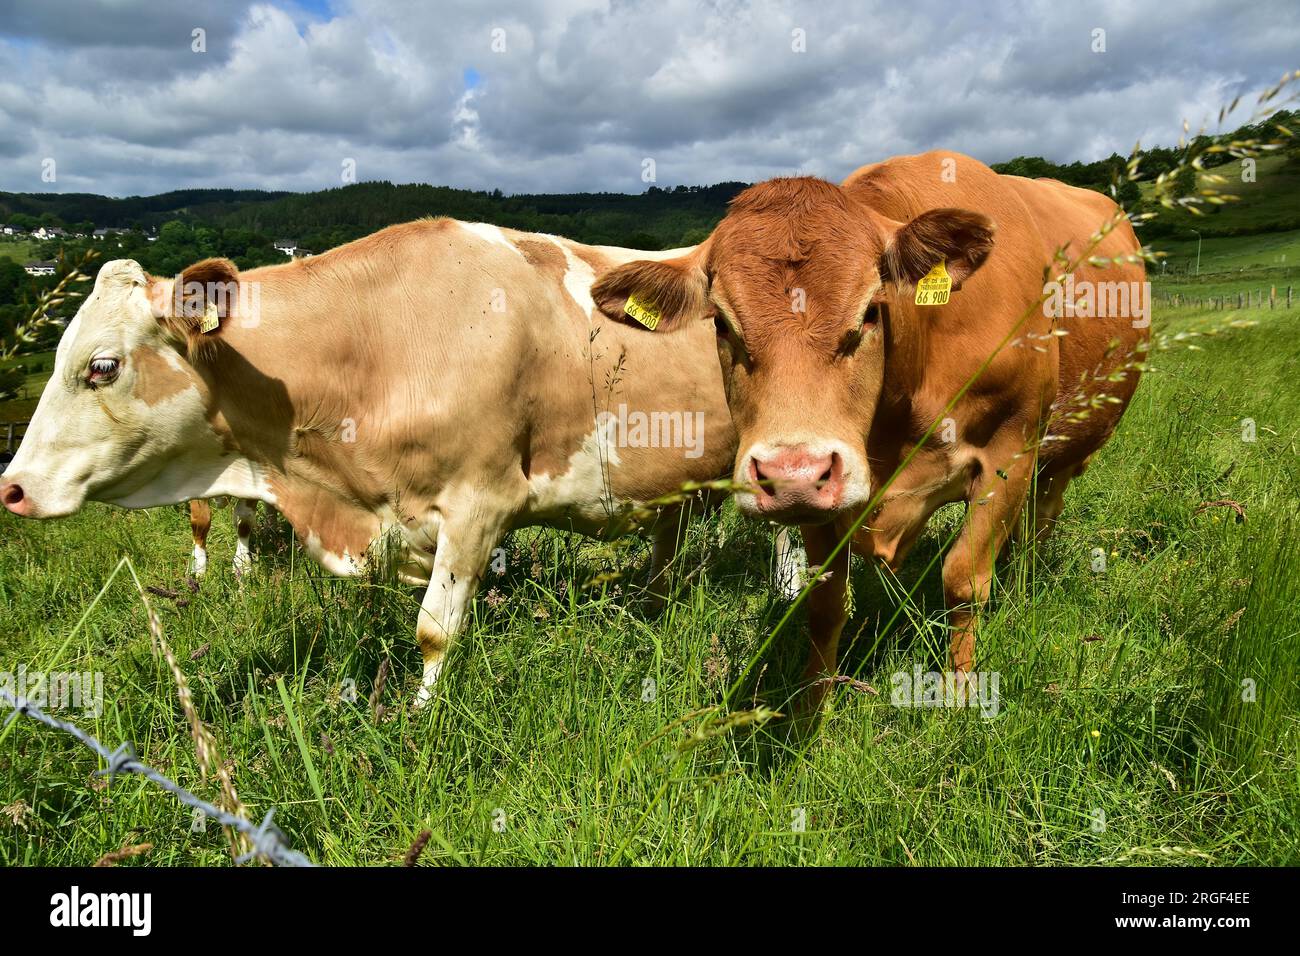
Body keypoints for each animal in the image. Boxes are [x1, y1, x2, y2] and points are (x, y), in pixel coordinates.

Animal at [0, 219, 739, 702]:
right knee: (668, 542)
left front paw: (424, 721)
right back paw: (656, 605)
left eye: (101, 366)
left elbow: (435, 632)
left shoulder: (480, 501)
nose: (12, 487)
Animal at [592, 150, 1147, 711]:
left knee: (1041, 519)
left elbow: (964, 581)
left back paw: (1022, 587)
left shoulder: (1008, 449)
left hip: (1066, 452)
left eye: (870, 313)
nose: (791, 474)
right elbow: (824, 603)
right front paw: (810, 708)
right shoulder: (821, 500)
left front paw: (961, 694)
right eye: (723, 324)